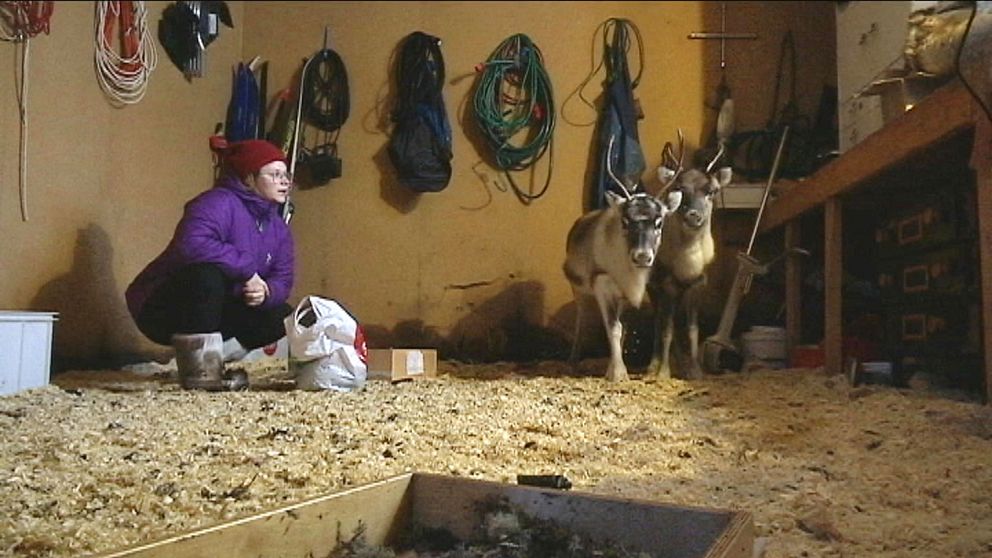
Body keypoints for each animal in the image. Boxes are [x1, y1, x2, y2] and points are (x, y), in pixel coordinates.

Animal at [564, 189, 680, 384]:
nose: (642, 257)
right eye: (625, 221)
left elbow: (621, 329)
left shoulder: (624, 295)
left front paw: (612, 369)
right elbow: (613, 327)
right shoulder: (601, 285)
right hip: (579, 290)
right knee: (581, 319)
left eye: (659, 222)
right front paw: (619, 373)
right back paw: (572, 362)